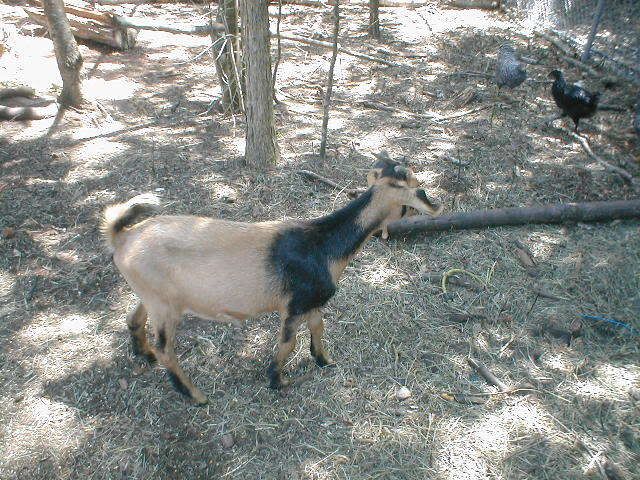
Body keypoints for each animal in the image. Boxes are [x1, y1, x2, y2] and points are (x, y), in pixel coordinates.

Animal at [102, 167, 442, 405]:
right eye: (412, 187)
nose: (436, 205)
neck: (321, 244)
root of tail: (123, 237)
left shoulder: (311, 301)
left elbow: (318, 327)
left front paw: (323, 360)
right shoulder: (293, 305)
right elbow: (287, 343)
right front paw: (278, 381)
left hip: (152, 295)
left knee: (134, 319)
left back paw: (144, 355)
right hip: (165, 306)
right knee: (166, 349)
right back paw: (195, 395)